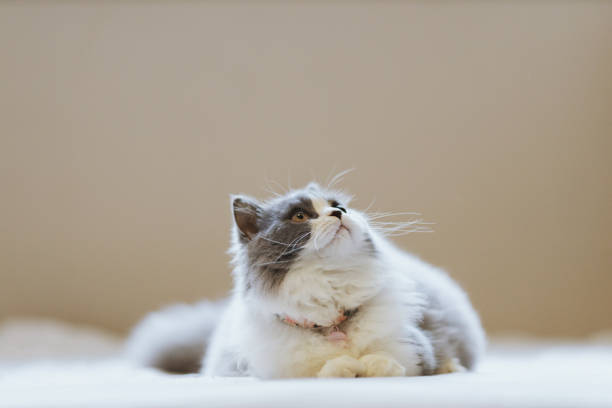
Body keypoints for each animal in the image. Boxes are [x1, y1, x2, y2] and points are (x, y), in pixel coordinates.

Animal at [126, 182, 486, 380]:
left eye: (339, 206)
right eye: (300, 216)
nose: (339, 214)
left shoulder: (416, 344)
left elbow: (400, 361)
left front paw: (371, 364)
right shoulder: (266, 368)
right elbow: (317, 370)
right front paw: (344, 367)